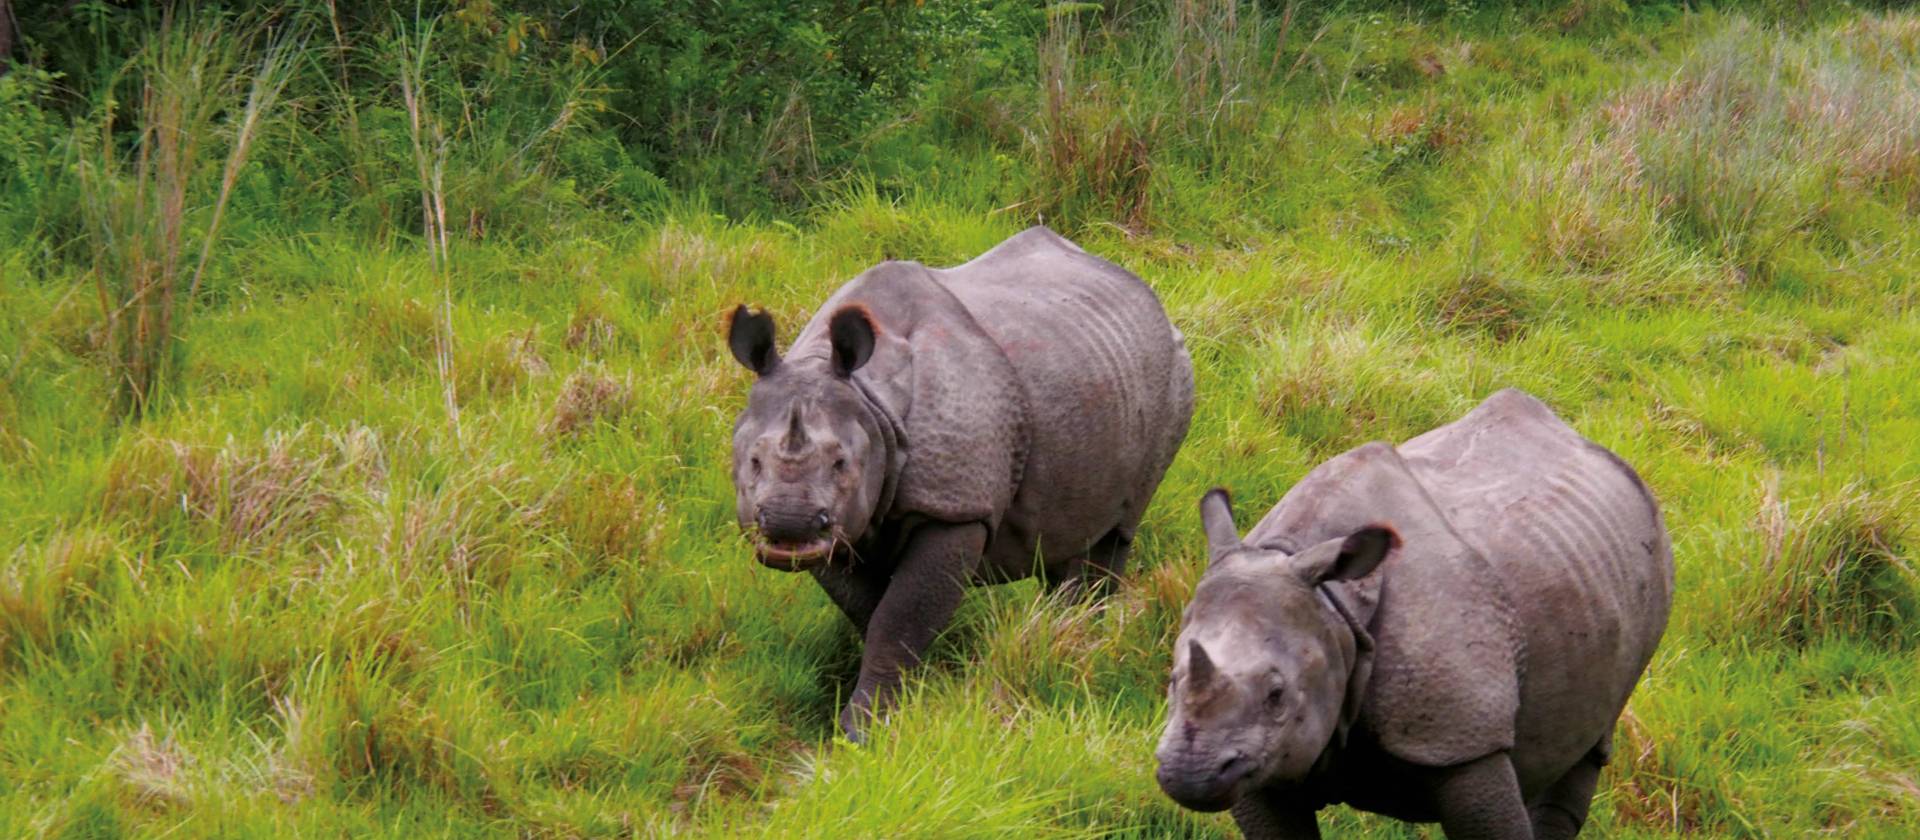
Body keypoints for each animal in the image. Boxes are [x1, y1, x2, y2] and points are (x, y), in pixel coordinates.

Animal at [726, 226, 1194, 740]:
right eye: (752, 461)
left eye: (841, 463)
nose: (789, 523)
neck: (871, 400)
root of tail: (1150, 297)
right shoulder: (842, 528)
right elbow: (871, 611)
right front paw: (915, 694)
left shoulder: (955, 510)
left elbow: (899, 617)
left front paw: (864, 731)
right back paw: (1059, 635)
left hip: (1173, 373)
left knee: (1119, 530)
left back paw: (1083, 642)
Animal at [1155, 389, 1673, 839]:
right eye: (1173, 681)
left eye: (1276, 695)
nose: (1188, 772)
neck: (1336, 607)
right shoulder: (1263, 764)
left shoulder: (1463, 739)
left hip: (1655, 562)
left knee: (1590, 747)